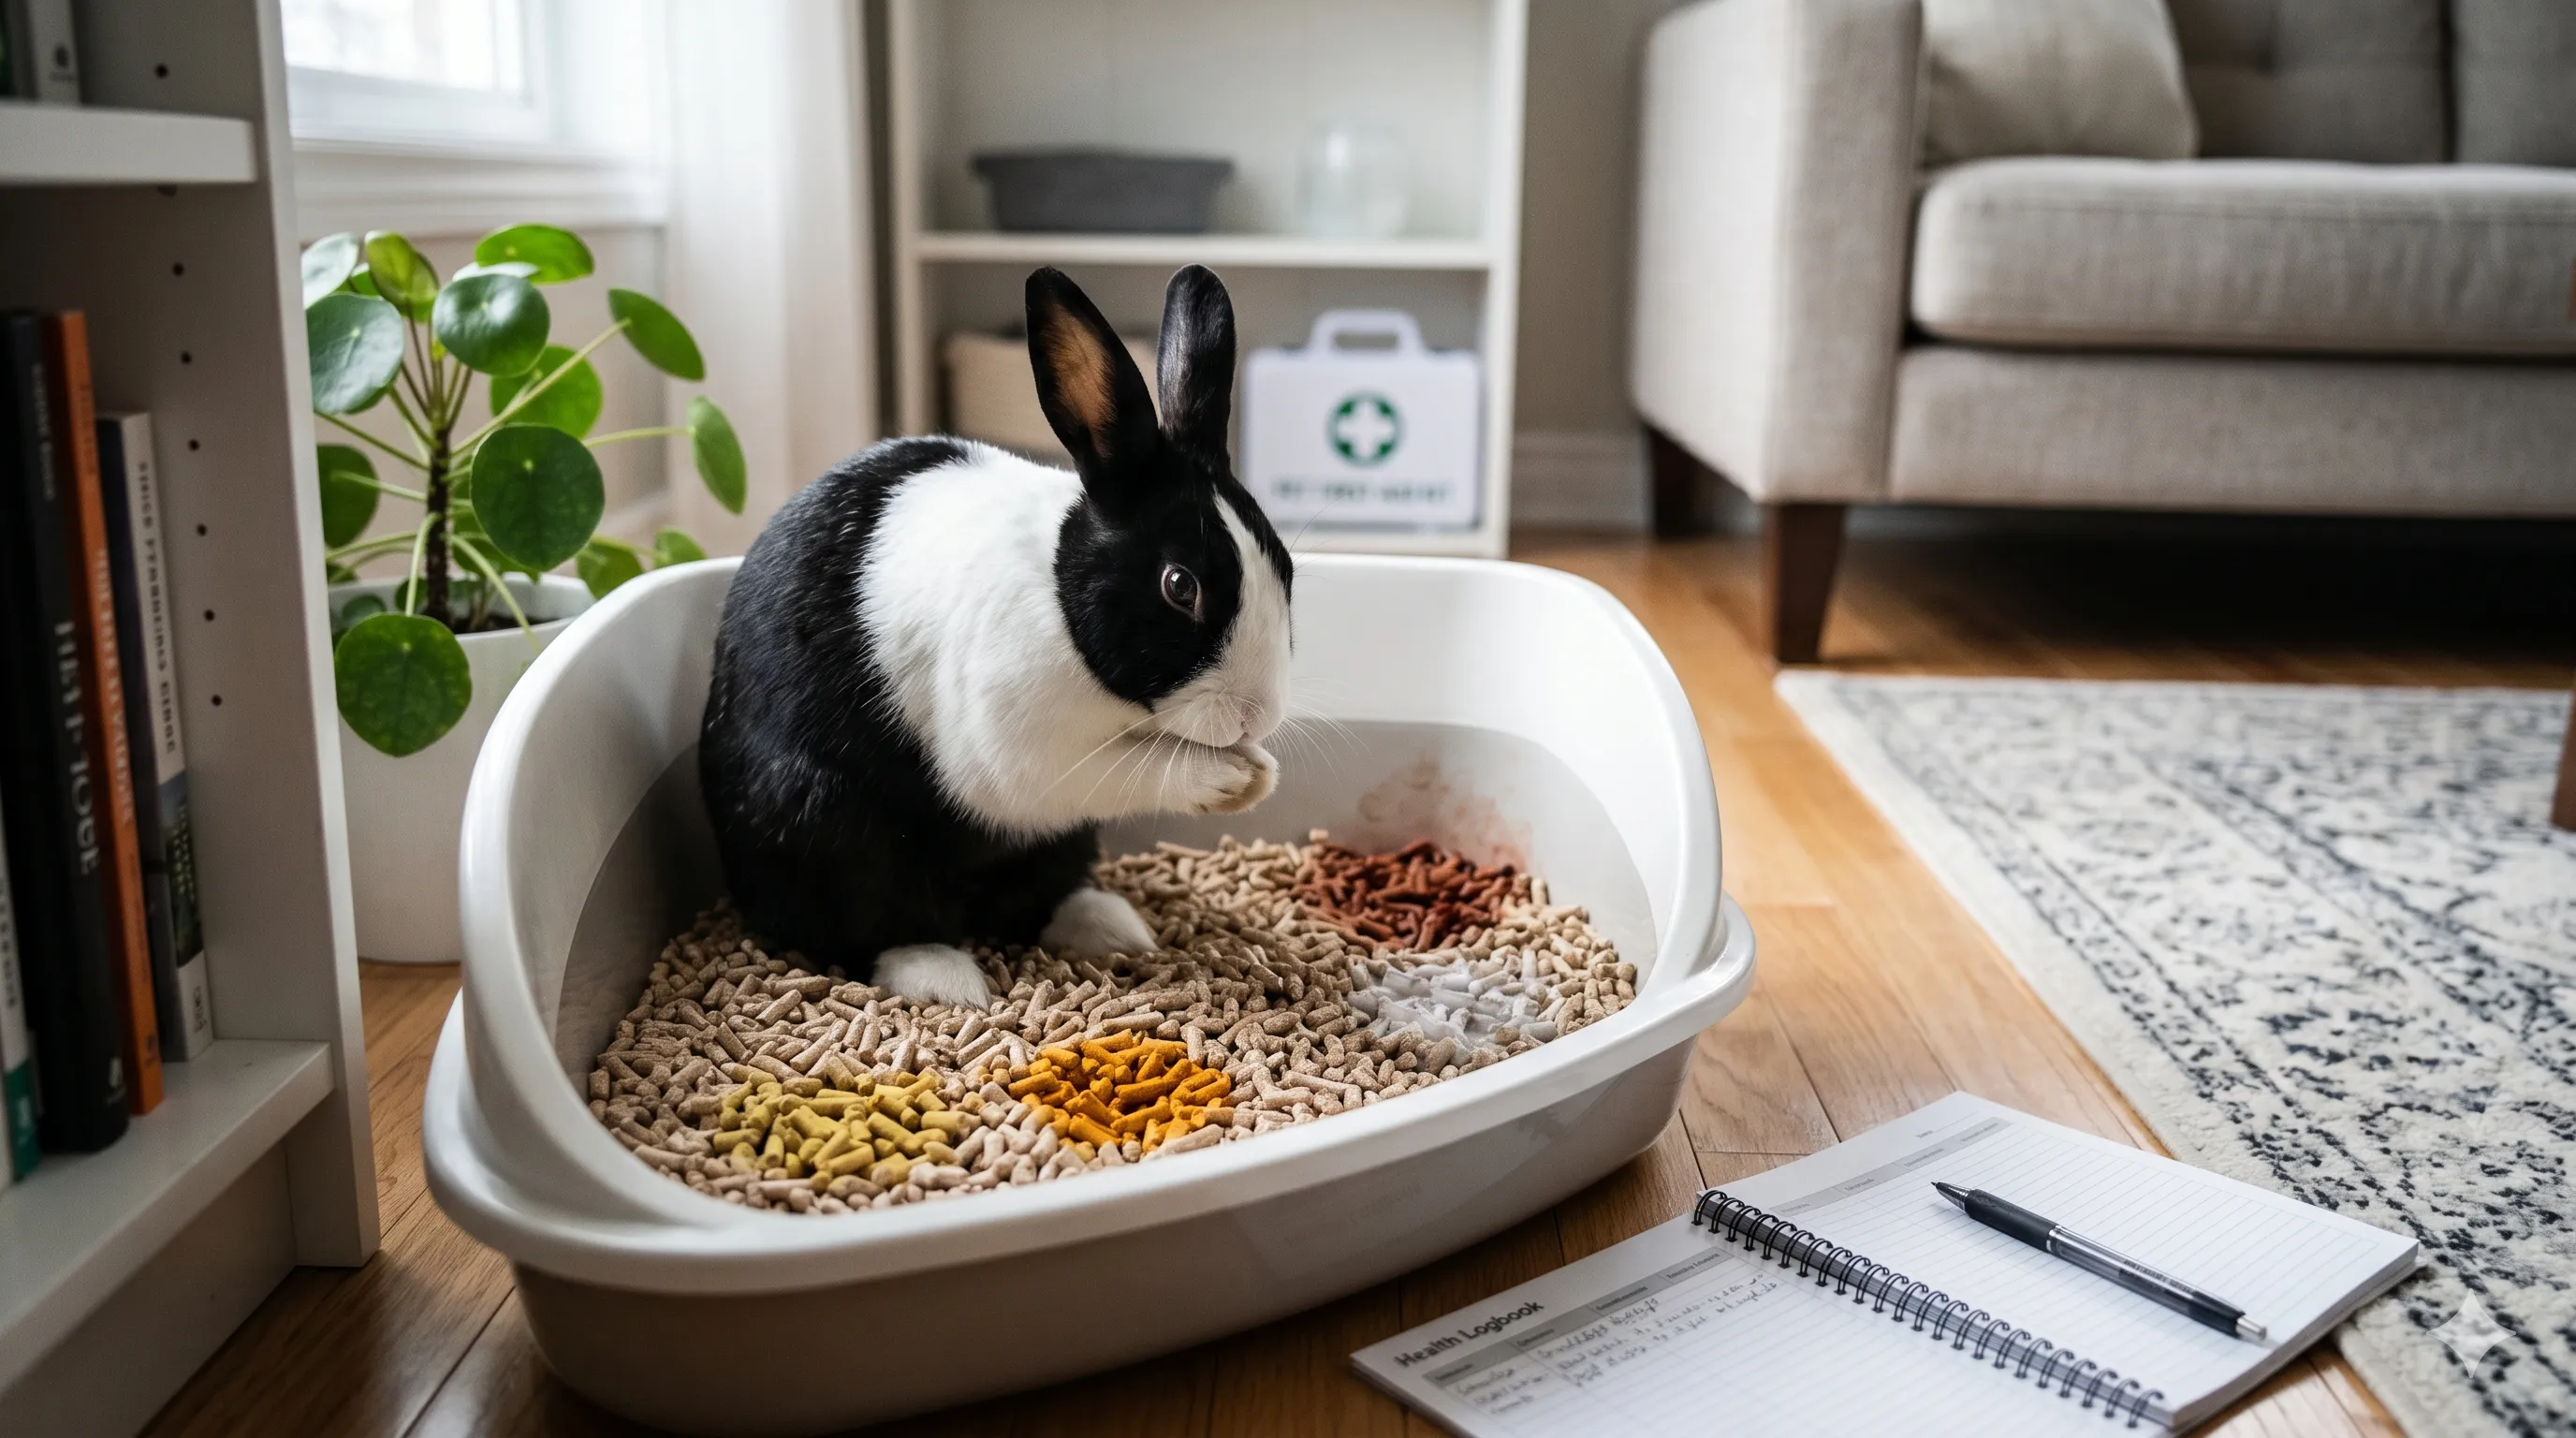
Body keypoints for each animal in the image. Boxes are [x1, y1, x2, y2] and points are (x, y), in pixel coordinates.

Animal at [698, 264, 1293, 1009]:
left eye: (1285, 561)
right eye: (1179, 585)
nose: (1257, 714)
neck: (1060, 594)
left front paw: (1260, 768)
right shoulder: (1023, 756)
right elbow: (1130, 769)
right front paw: (1235, 779)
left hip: (1059, 847)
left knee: (1035, 900)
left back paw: (1114, 928)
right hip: (828, 828)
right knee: (879, 925)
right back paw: (949, 981)